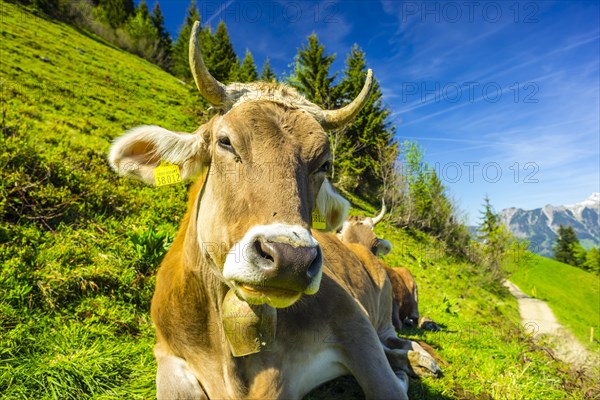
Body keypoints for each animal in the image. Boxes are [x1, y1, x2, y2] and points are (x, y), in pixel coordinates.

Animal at [108, 22, 438, 400]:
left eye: (324, 163)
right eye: (225, 142)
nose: (290, 258)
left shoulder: (355, 321)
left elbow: (386, 387)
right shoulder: (167, 353)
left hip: (384, 315)